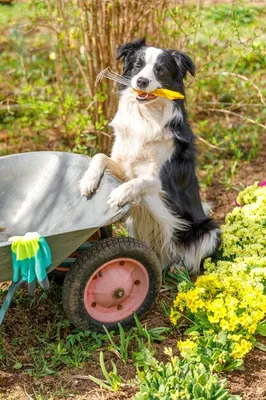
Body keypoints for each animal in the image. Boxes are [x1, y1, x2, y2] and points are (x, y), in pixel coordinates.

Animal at [79, 39, 220, 274]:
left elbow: (139, 181)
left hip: (211, 230)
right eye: (138, 65)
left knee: (192, 259)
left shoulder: (161, 183)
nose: (141, 81)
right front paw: (87, 181)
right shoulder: (124, 165)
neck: (145, 116)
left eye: (160, 70)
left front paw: (118, 194)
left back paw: (178, 269)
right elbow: (100, 156)